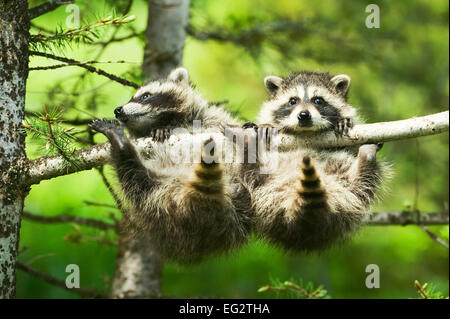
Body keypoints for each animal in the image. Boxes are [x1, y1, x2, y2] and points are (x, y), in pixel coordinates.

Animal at [90, 68, 253, 264]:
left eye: (145, 96)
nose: (118, 110)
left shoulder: (213, 118)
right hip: (158, 195)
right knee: (135, 178)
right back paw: (121, 145)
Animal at [243, 72, 390, 252]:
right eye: (293, 101)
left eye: (318, 100)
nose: (303, 115)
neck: (306, 132)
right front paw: (266, 125)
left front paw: (343, 123)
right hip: (259, 189)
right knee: (249, 171)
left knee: (364, 183)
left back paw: (366, 157)